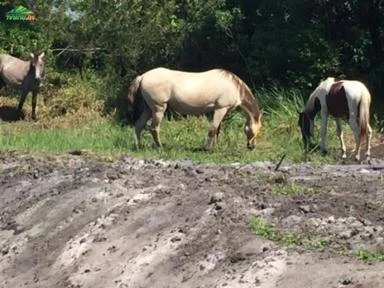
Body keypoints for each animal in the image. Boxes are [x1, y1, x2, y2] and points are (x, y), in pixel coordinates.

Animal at [127, 66, 262, 150]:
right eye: (258, 127)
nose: (252, 146)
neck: (235, 87)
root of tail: (142, 76)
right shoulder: (221, 109)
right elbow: (213, 129)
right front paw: (207, 149)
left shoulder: (220, 110)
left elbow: (217, 130)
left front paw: (215, 147)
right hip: (158, 108)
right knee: (154, 128)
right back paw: (160, 147)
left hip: (148, 109)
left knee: (138, 125)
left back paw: (138, 146)